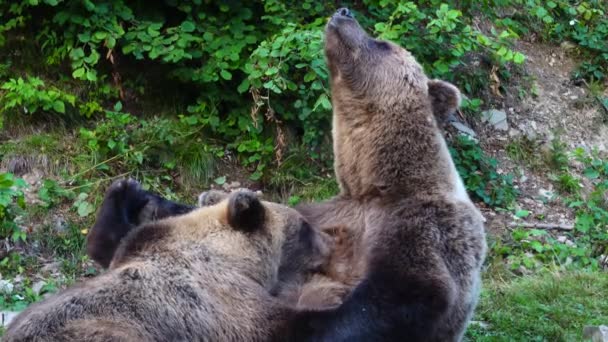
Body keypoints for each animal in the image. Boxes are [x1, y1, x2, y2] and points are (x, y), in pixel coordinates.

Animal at [292, 8, 486, 342]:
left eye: (382, 43)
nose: (344, 11)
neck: (377, 186)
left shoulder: (425, 228)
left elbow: (398, 296)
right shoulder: (333, 212)